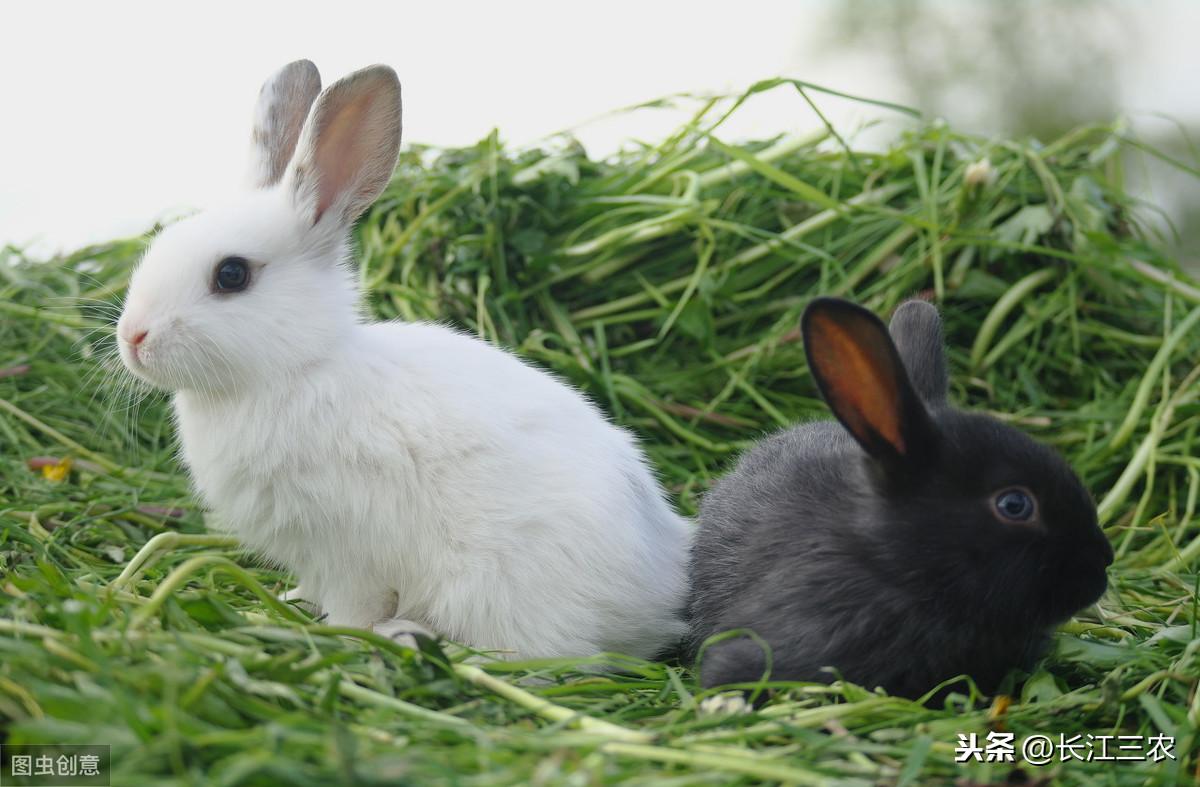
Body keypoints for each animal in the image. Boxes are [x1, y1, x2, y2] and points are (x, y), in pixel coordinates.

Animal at [119, 59, 696, 657]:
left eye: (231, 274)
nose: (132, 337)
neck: (298, 367)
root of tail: (660, 594)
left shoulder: (346, 549)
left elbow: (353, 601)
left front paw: (343, 632)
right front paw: (297, 601)